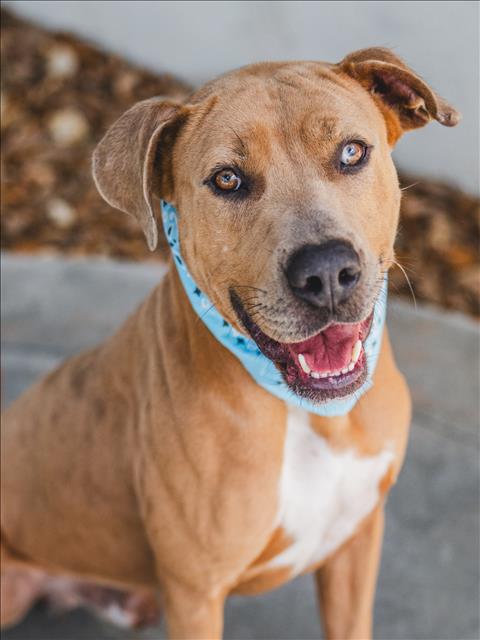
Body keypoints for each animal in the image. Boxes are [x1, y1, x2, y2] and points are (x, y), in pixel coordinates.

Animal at [2, 50, 462, 640]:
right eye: (227, 180)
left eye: (352, 152)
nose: (327, 271)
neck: (306, 413)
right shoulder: (196, 595)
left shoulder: (356, 542)